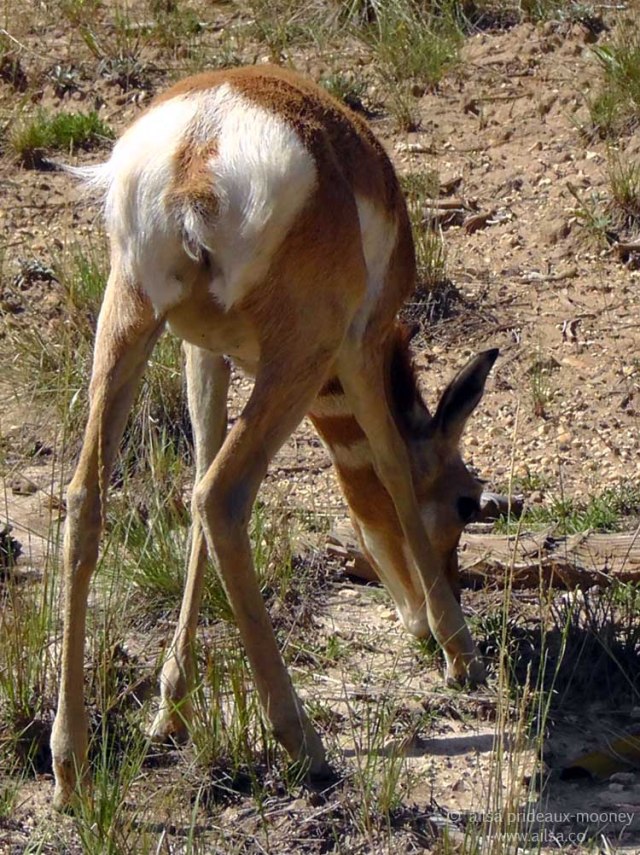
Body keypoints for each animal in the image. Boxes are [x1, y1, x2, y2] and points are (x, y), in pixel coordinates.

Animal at [51, 64, 498, 809]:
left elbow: (197, 471)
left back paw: (71, 766)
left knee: (93, 499)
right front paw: (460, 651)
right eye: (467, 502)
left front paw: (171, 706)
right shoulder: (359, 351)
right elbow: (394, 469)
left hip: (127, 321)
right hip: (300, 359)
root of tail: (203, 141)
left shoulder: (204, 353)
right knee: (221, 496)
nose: (420, 619)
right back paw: (304, 743)